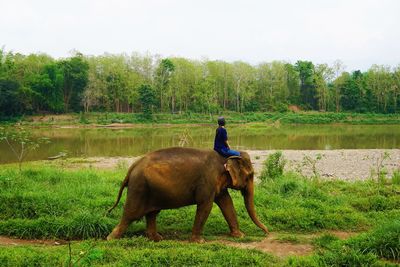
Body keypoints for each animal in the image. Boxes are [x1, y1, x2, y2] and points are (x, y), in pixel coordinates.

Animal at [106, 147, 268, 243]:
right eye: (250, 175)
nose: (267, 232)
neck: (225, 157)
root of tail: (132, 167)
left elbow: (227, 203)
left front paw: (239, 236)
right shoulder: (207, 181)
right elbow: (205, 205)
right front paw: (199, 242)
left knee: (152, 213)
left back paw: (157, 238)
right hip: (139, 188)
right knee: (130, 214)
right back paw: (111, 239)